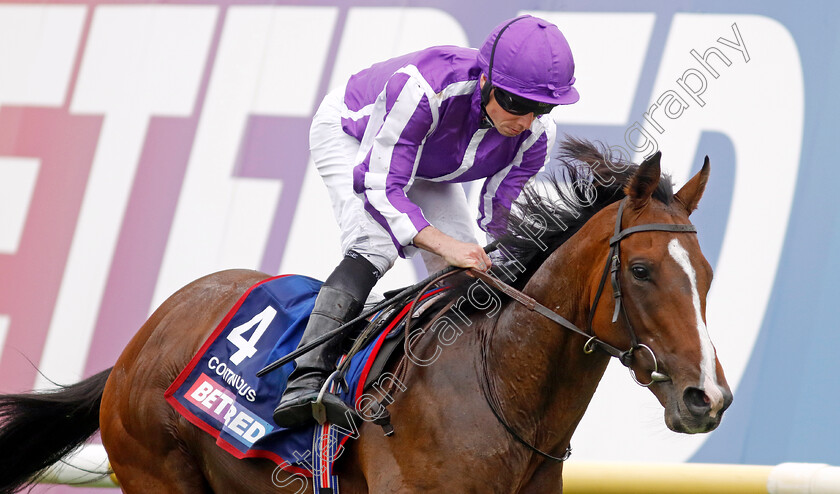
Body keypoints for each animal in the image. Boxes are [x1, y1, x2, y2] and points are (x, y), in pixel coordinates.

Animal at [0, 140, 732, 494]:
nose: (707, 397)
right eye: (642, 270)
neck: (498, 390)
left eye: (707, 274)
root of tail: (140, 342)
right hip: (157, 472)